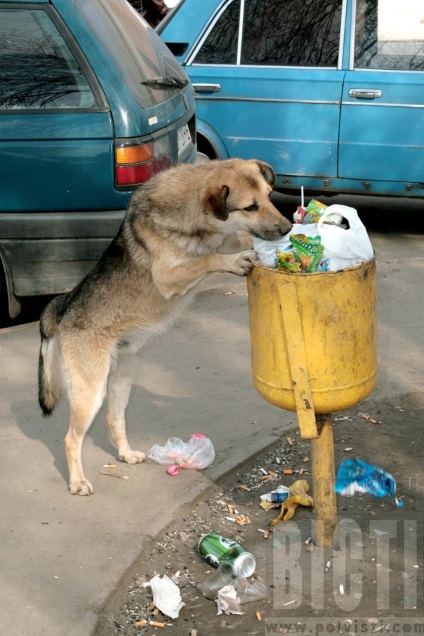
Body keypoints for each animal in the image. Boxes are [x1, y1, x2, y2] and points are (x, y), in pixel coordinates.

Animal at [39, 157, 292, 494]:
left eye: (269, 196)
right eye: (250, 207)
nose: (288, 228)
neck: (191, 216)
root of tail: (61, 307)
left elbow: (220, 247)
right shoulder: (169, 277)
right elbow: (209, 258)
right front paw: (236, 260)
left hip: (120, 382)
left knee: (113, 420)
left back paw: (126, 453)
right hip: (90, 392)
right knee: (71, 439)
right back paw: (78, 481)